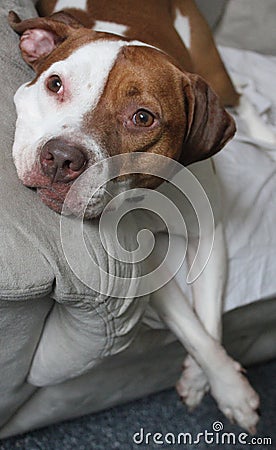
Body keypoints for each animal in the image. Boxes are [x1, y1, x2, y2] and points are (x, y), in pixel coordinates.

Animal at [8, 0, 258, 436]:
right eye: (55, 84)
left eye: (143, 118)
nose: (61, 158)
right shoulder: (143, 264)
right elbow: (192, 326)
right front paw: (223, 383)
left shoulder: (210, 234)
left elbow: (209, 321)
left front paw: (219, 384)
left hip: (216, 75)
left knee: (243, 99)